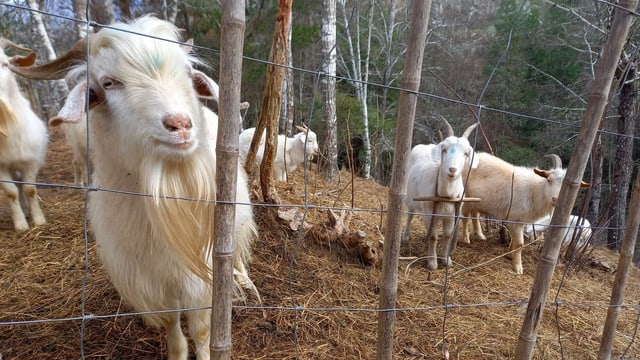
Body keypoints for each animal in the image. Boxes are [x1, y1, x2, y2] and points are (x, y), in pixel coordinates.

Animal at [11, 16, 256, 360]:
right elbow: (173, 327)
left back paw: (245, 282)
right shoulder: (149, 278)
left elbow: (201, 328)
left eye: (186, 72)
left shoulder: (202, 268)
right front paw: (176, 351)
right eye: (109, 83)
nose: (180, 125)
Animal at [402, 124, 478, 270]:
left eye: (466, 153)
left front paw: (446, 259)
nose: (452, 170)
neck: (446, 195)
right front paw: (432, 263)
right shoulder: (428, 213)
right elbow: (433, 236)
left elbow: (447, 236)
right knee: (410, 215)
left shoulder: (451, 216)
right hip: (411, 198)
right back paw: (405, 236)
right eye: (444, 149)